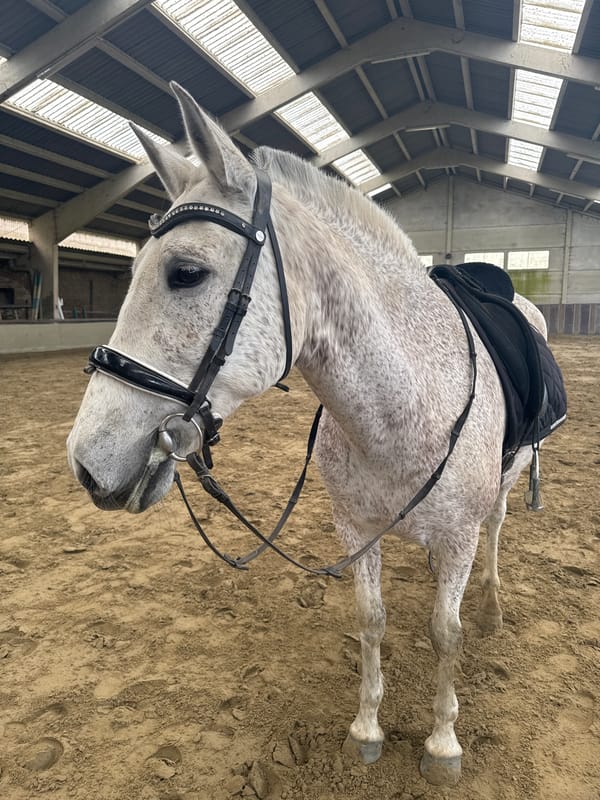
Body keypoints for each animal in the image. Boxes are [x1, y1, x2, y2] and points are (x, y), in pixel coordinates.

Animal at [67, 82, 556, 786]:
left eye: (186, 272)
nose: (86, 463)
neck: (403, 412)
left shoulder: (458, 534)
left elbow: (447, 632)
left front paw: (442, 744)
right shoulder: (355, 528)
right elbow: (372, 621)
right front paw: (366, 730)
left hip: (503, 492)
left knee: (495, 533)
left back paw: (489, 608)